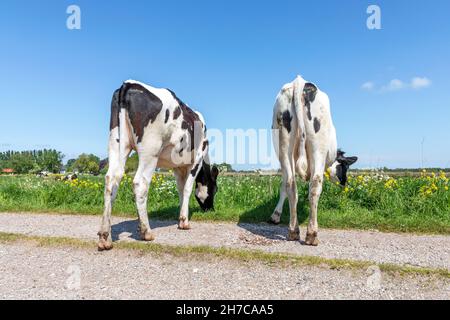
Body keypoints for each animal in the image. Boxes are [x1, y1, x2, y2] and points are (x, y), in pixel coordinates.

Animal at [97, 79, 219, 250]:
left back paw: (105, 237)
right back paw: (146, 232)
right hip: (150, 151)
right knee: (140, 183)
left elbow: (180, 190)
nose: (211, 209)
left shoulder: (177, 167)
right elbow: (187, 189)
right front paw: (184, 222)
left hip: (116, 142)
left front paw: (180, 216)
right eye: (215, 189)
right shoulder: (197, 159)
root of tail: (128, 84)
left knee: (111, 179)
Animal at [268, 75, 356, 245]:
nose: (345, 184)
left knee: (290, 184)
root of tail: (300, 81)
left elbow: (283, 187)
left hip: (284, 145)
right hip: (317, 148)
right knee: (315, 184)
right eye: (346, 168)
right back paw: (312, 234)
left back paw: (293, 231)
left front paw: (275, 215)